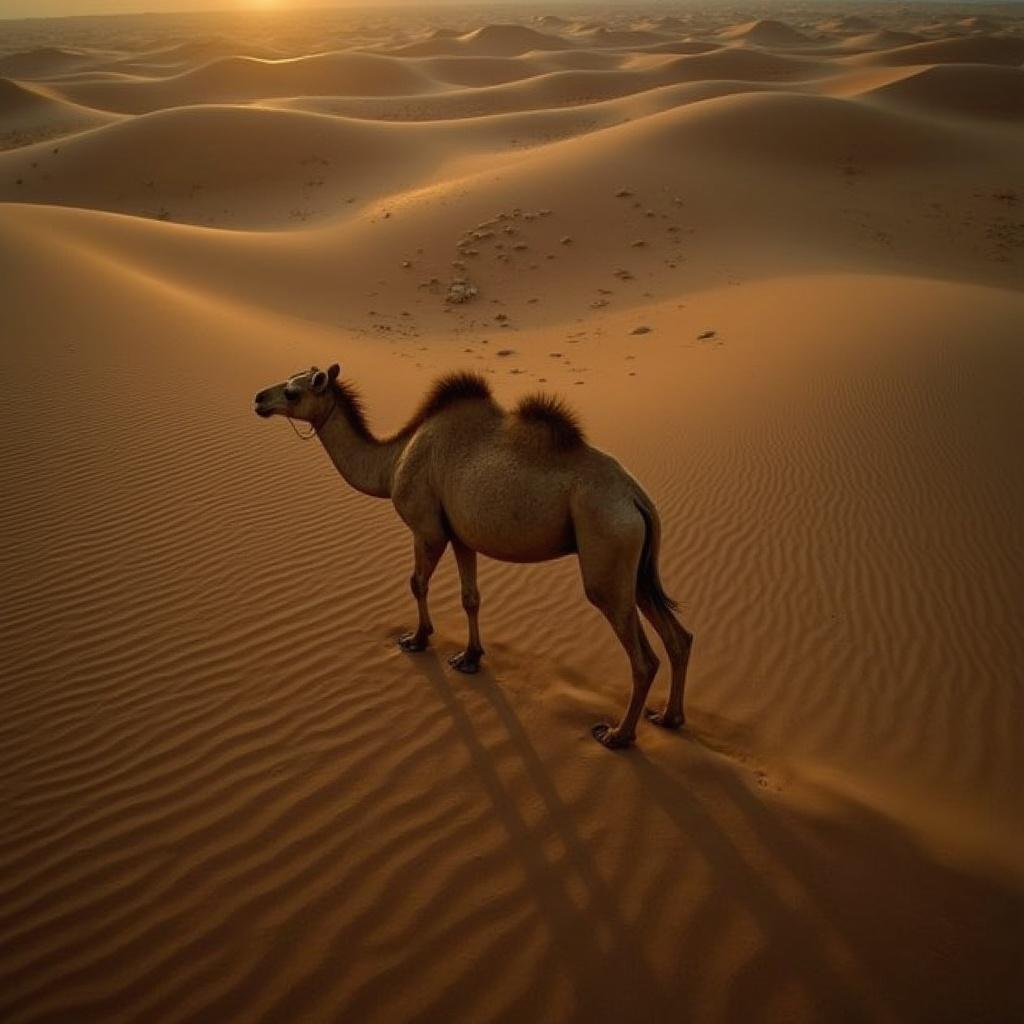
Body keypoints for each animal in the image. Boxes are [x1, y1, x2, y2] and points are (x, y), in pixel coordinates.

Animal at [254, 364, 693, 748]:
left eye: (293, 391)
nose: (259, 398)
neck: (393, 462)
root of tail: (636, 498)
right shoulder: (462, 535)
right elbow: (471, 597)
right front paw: (469, 657)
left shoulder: (427, 527)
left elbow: (417, 582)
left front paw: (416, 639)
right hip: (636, 568)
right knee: (679, 637)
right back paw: (668, 718)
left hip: (607, 550)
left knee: (642, 658)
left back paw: (618, 736)